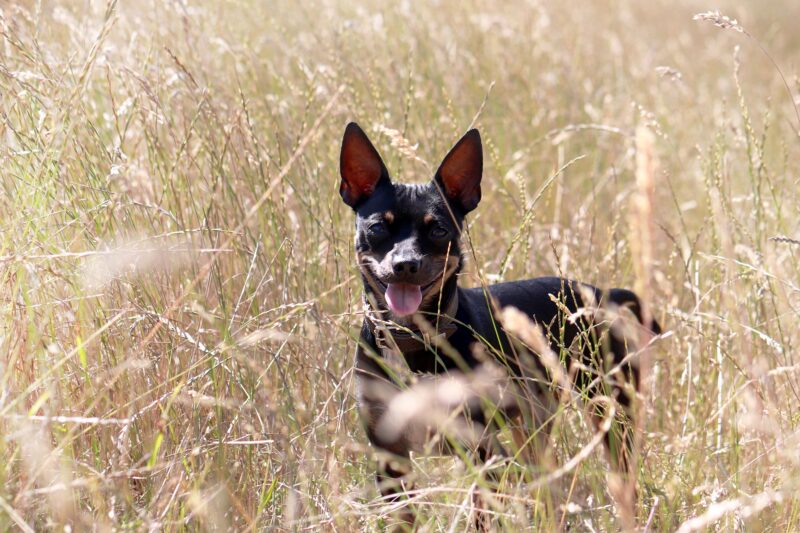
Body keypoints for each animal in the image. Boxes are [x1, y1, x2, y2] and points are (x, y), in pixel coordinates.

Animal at [340, 120, 660, 524]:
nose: (405, 265)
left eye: (439, 230)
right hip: (534, 423)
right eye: (378, 228)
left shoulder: (480, 451)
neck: (413, 340)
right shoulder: (391, 459)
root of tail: (600, 292)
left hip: (611, 412)